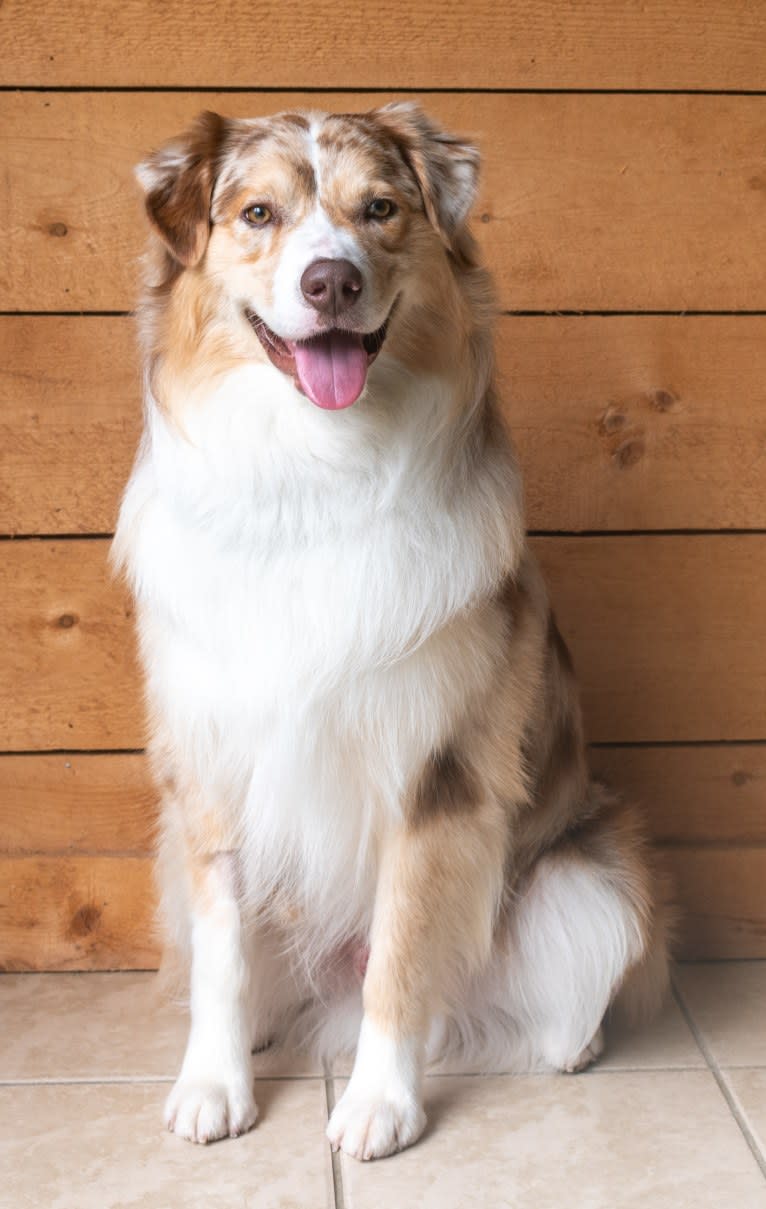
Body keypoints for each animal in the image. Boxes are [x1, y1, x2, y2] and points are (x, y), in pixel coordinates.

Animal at [113, 103, 666, 1160]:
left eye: (379, 209)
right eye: (257, 213)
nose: (331, 280)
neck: (311, 474)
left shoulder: (434, 772)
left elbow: (403, 956)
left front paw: (380, 1104)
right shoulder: (210, 764)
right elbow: (221, 955)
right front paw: (214, 1085)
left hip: (590, 885)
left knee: (525, 1002)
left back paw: (559, 1045)